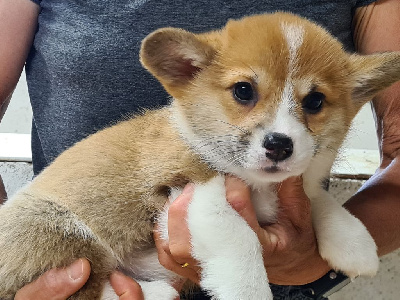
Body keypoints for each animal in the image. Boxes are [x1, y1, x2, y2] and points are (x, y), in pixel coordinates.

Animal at [0, 12, 400, 300]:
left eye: (315, 101)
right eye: (243, 91)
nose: (279, 145)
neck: (259, 185)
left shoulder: (299, 186)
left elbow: (321, 201)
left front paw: (354, 243)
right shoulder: (192, 192)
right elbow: (241, 240)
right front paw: (250, 291)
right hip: (63, 229)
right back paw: (156, 292)